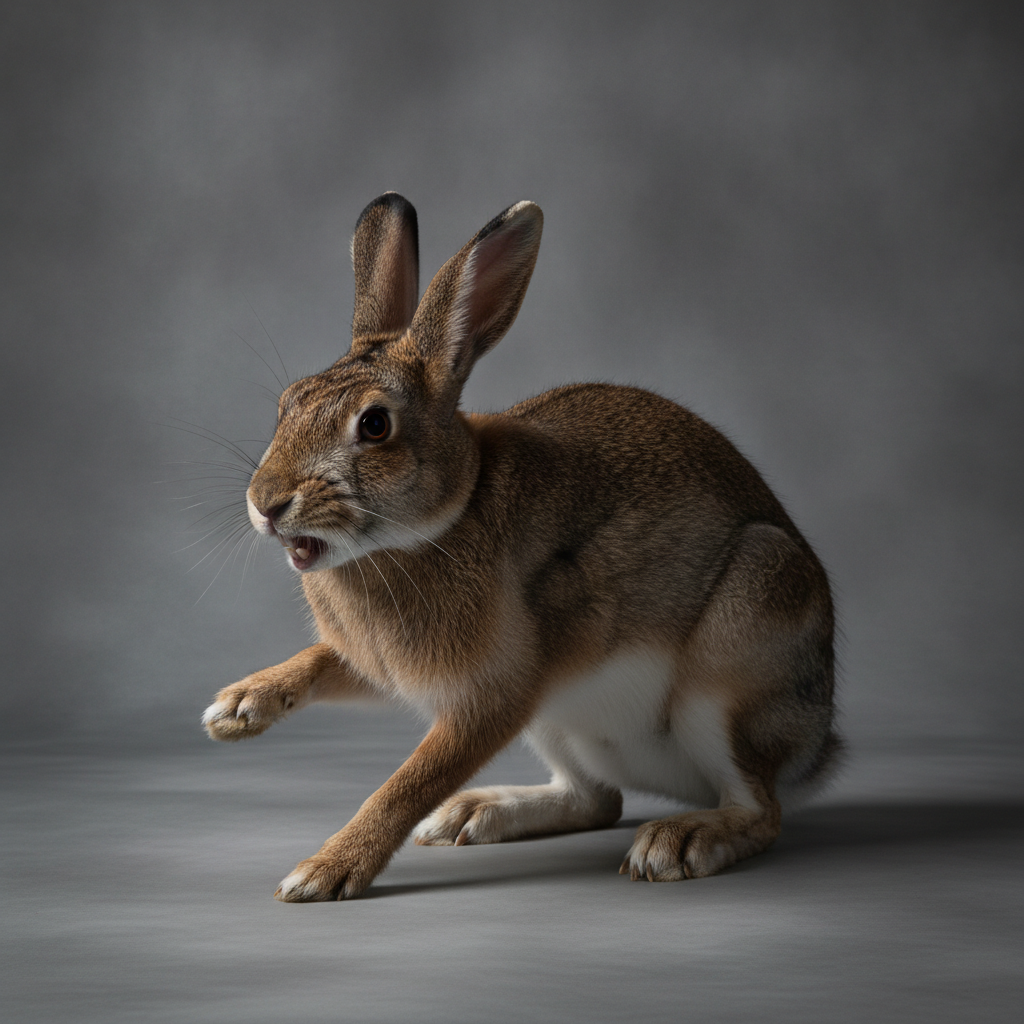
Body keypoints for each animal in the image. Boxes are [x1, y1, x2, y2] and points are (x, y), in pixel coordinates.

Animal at [202, 191, 841, 901]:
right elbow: (319, 664)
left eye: (374, 425)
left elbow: (407, 784)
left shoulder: (497, 696)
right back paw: (474, 814)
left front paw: (325, 871)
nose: (267, 502)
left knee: (759, 808)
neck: (445, 518)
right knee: (597, 801)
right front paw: (238, 708)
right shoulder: (391, 671)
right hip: (560, 724)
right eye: (286, 405)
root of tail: (818, 743)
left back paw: (679, 842)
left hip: (735, 656)